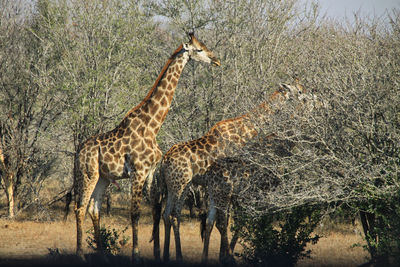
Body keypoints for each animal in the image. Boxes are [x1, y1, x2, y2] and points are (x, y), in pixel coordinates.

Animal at [73, 33, 220, 262]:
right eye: (199, 49)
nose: (216, 60)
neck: (152, 125)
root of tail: (79, 150)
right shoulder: (138, 171)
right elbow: (135, 213)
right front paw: (136, 255)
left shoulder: (151, 172)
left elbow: (155, 211)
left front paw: (158, 253)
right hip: (88, 174)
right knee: (79, 208)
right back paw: (80, 255)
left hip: (103, 178)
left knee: (93, 209)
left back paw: (103, 255)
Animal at [152, 80, 314, 262]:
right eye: (299, 91)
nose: (311, 95)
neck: (247, 131)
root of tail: (163, 162)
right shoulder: (230, 181)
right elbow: (227, 220)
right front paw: (224, 256)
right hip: (181, 184)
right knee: (174, 215)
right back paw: (178, 256)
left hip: (174, 186)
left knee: (167, 214)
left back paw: (165, 255)